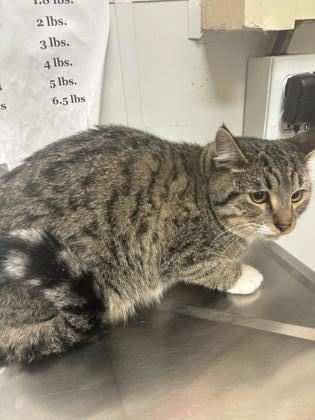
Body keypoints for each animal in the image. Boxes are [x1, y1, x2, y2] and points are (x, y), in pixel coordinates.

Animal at [0, 124, 314, 360]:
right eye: (258, 196)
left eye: (297, 196)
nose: (285, 225)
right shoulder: (172, 254)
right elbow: (210, 267)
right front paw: (242, 275)